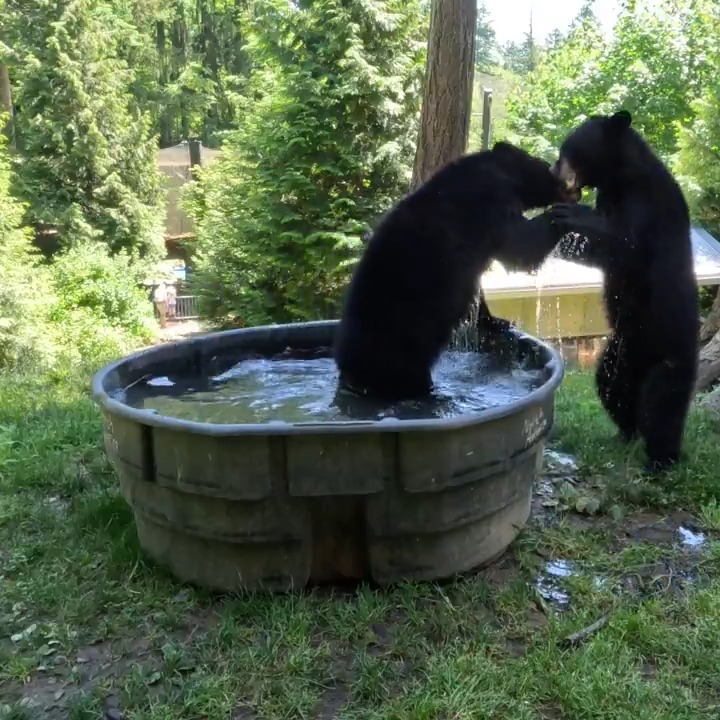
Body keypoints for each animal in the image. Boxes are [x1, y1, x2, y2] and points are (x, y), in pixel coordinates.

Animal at [333, 141, 573, 403]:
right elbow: (521, 246)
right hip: (404, 346)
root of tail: (350, 369)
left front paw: (497, 321)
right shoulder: (492, 203)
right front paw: (563, 214)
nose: (564, 184)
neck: (501, 172)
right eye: (546, 165)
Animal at [543, 110, 699, 472]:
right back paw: (624, 435)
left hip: (670, 351)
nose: (552, 170)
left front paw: (571, 214)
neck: (620, 177)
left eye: (566, 150)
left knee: (663, 405)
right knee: (613, 387)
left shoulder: (648, 202)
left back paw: (660, 460)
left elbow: (626, 245)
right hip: (621, 351)